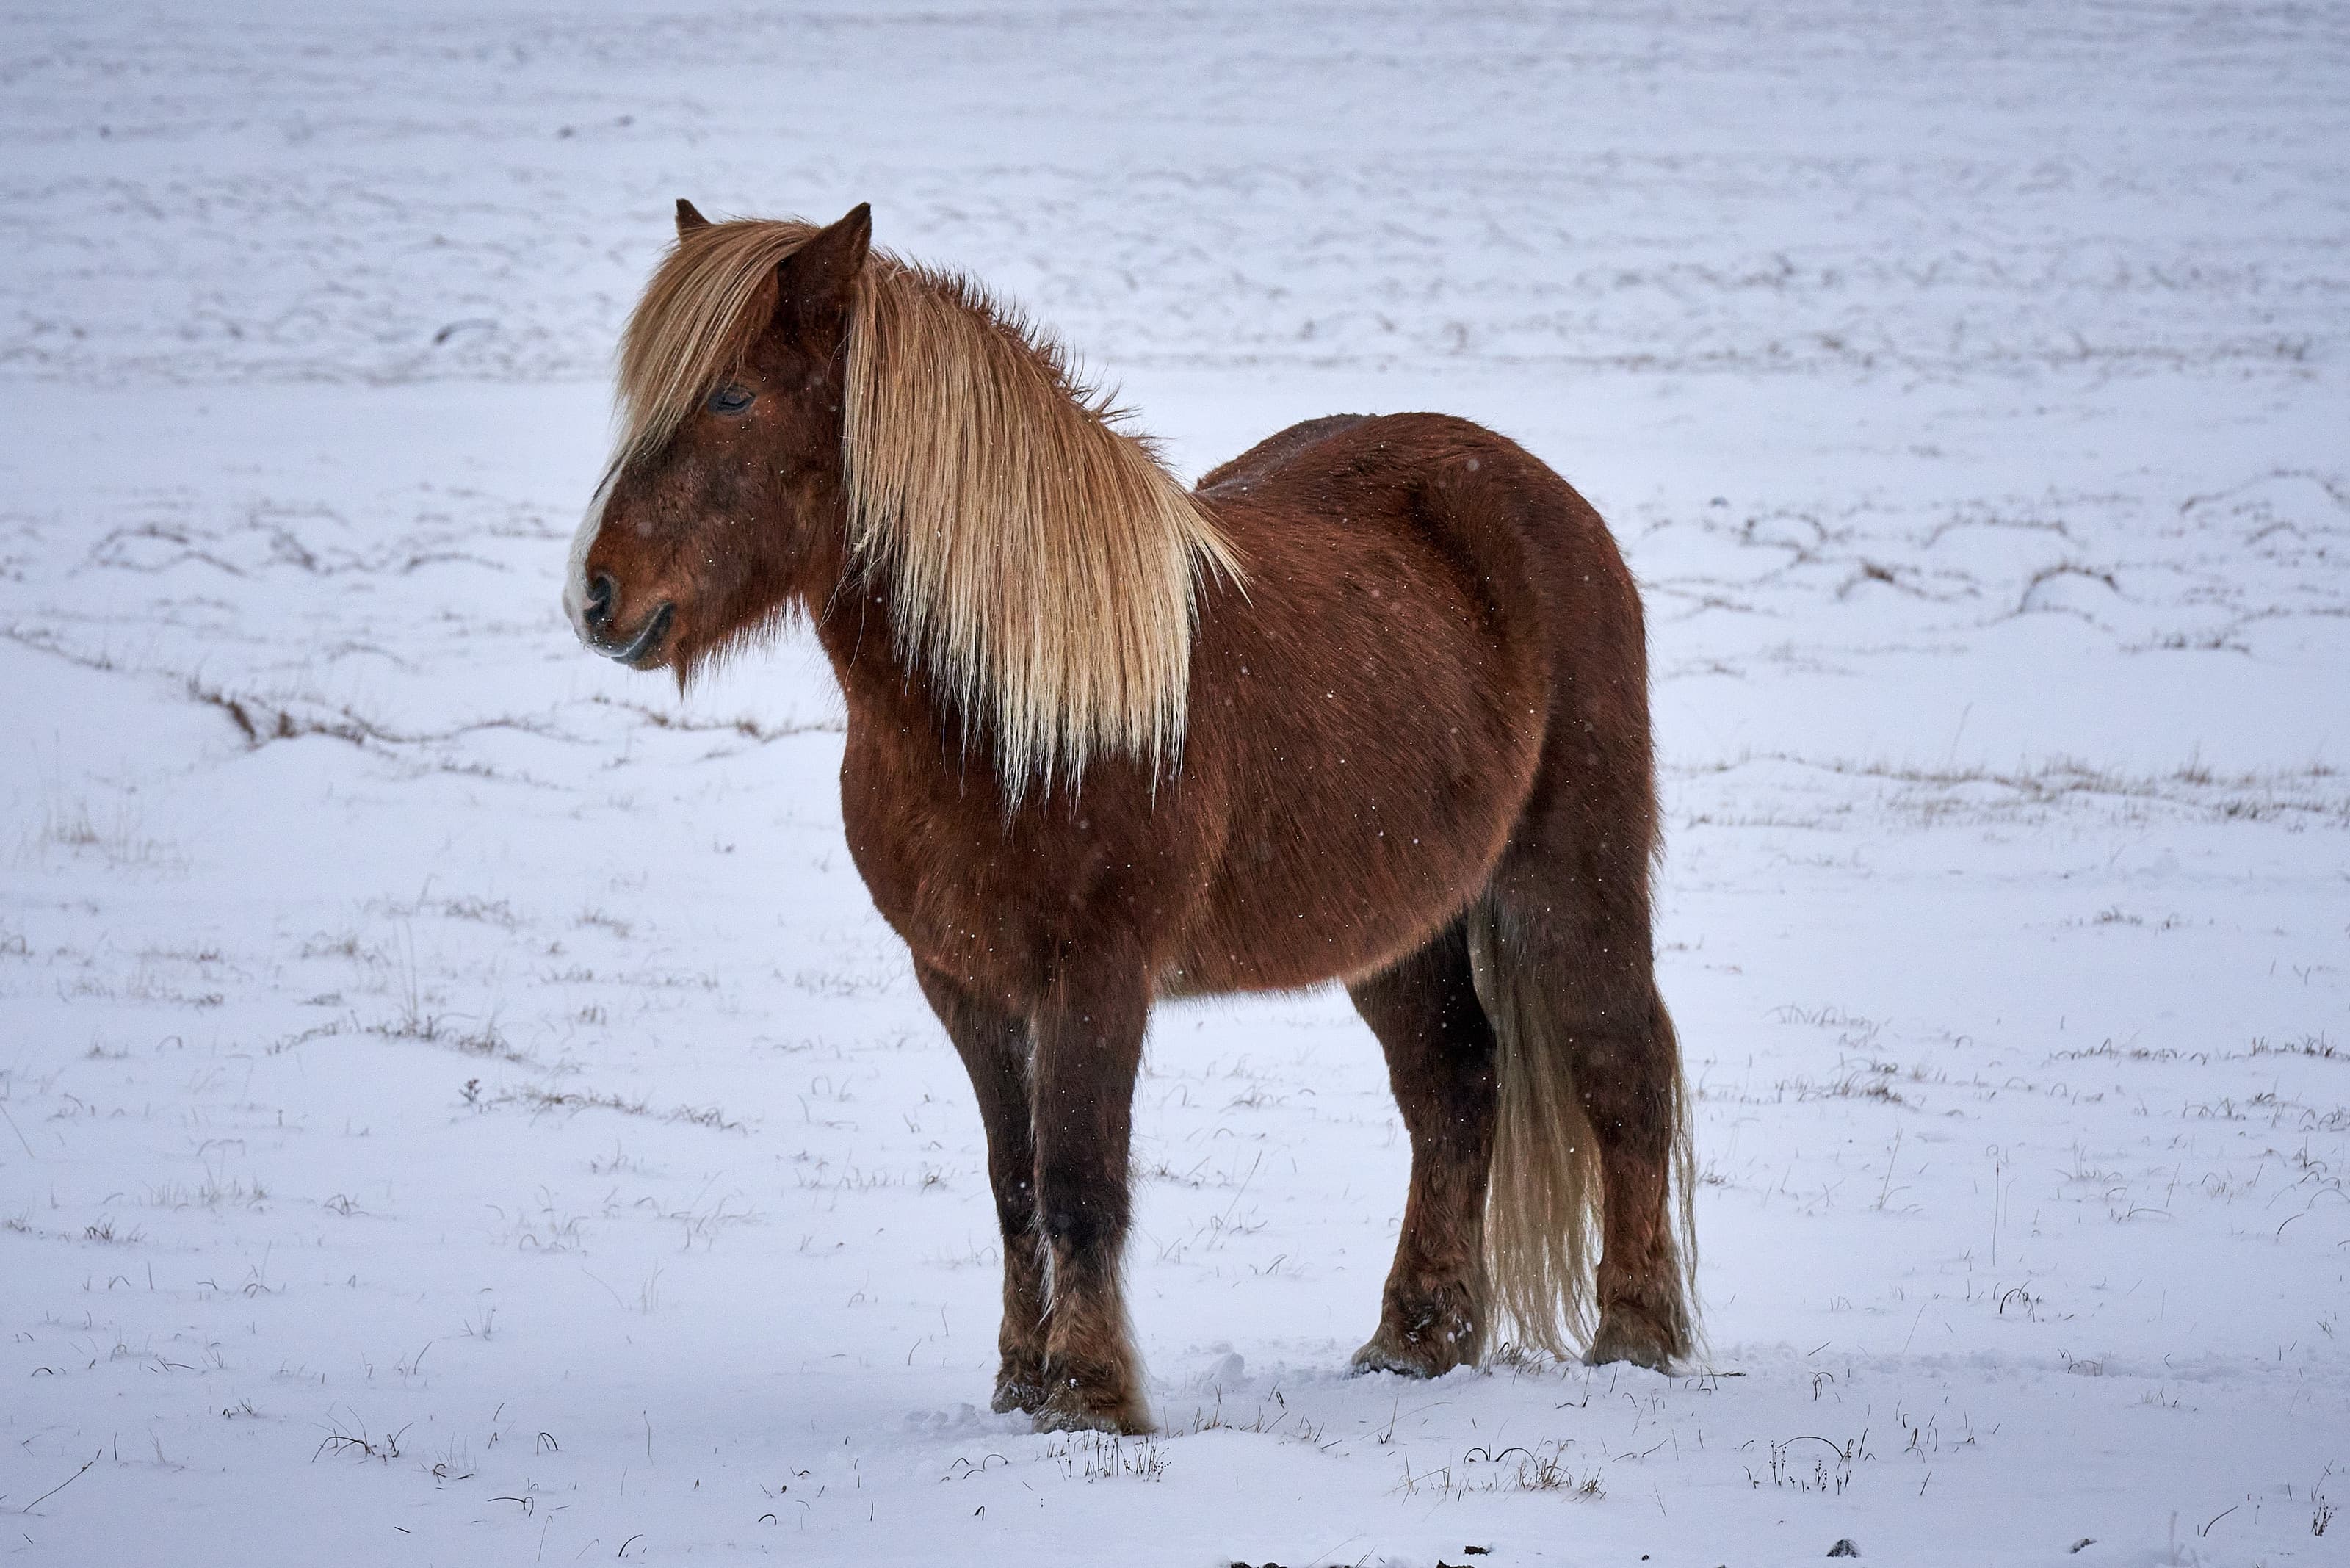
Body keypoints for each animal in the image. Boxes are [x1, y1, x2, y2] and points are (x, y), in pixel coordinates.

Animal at [564, 200, 1698, 1434]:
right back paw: (1414, 1340)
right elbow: (1015, 1182)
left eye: (732, 395)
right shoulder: (963, 980)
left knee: (1620, 1066)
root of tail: (1546, 497)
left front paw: (1092, 1395)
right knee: (1454, 1084)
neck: (1011, 698)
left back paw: (1636, 1336)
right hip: (1401, 921)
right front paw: (1019, 1382)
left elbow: (1080, 1180)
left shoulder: (1097, 973)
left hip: (1567, 876)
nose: (597, 595)